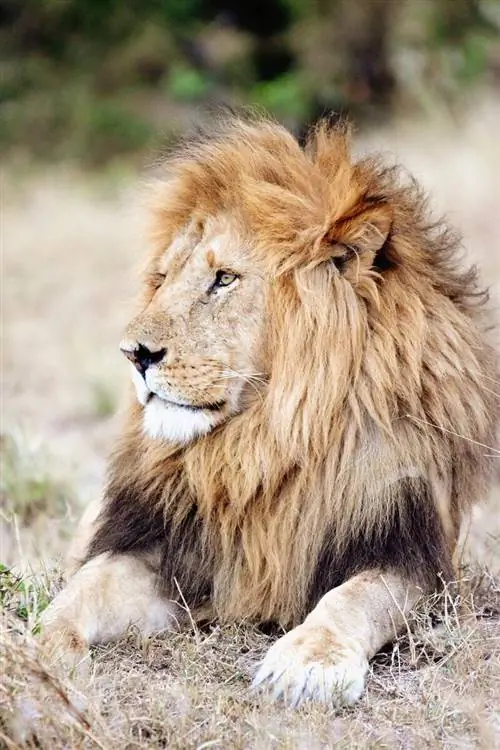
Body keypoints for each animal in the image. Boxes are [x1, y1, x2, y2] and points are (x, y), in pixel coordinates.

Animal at [41, 114, 499, 707]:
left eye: (224, 279)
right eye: (162, 279)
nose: (134, 354)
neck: (264, 444)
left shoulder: (412, 555)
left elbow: (354, 599)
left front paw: (305, 665)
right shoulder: (165, 549)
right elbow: (85, 586)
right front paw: (34, 651)